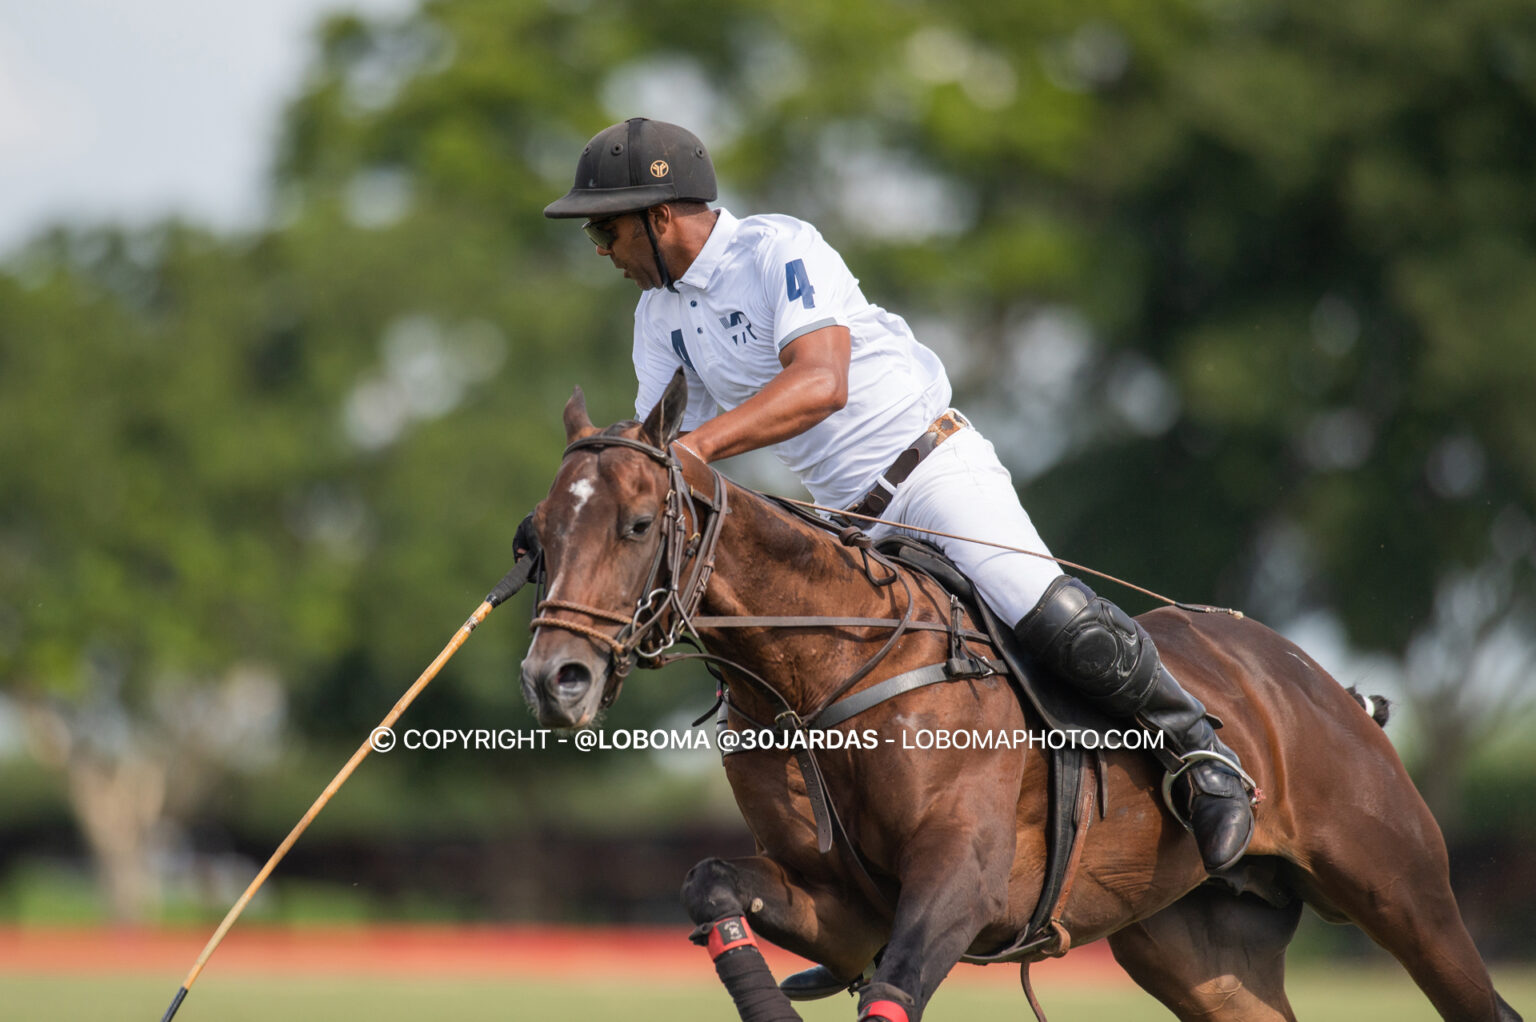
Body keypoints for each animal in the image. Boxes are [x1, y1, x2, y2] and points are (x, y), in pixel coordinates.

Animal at [519, 374, 1523, 1020]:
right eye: (538, 535)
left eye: (637, 524)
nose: (554, 679)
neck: (823, 675)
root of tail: (1328, 685)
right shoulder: (849, 909)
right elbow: (710, 882)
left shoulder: (957, 884)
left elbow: (892, 996)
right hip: (1201, 953)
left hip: (1404, 890)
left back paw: (1220, 793)